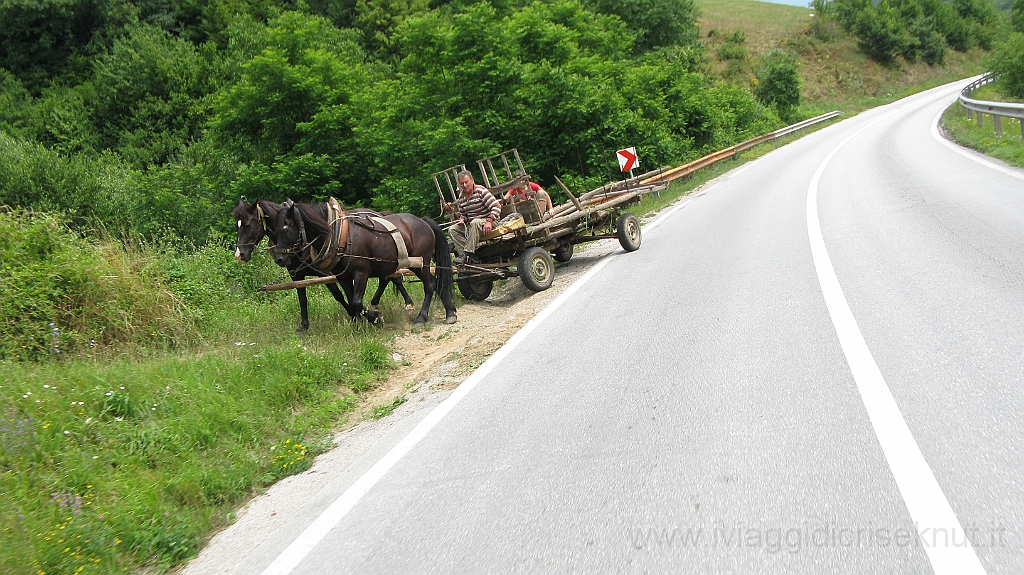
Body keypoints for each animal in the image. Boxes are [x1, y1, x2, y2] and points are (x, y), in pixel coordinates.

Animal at [234, 198, 415, 329]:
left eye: (248, 224)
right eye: (237, 226)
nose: (239, 254)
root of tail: (379, 214)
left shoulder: (325, 273)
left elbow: (339, 295)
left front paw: (356, 315)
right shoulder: (296, 274)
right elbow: (302, 298)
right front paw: (304, 325)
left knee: (394, 278)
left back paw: (408, 303)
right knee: (386, 278)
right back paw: (376, 304)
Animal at [268, 199, 456, 325]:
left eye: (285, 228)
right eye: (274, 229)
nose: (279, 258)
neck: (340, 236)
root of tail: (423, 221)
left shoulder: (361, 273)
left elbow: (357, 302)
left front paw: (375, 318)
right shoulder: (343, 277)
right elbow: (352, 302)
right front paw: (361, 323)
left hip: (420, 262)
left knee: (430, 285)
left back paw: (421, 317)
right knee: (435, 282)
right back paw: (450, 311)